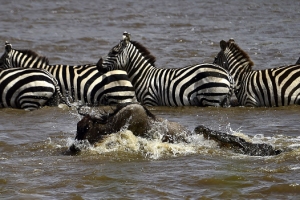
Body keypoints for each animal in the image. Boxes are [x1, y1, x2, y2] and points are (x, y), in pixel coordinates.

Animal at [97, 31, 233, 106]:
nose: (98, 65)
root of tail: (227, 73)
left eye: (114, 52)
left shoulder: (150, 100)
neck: (143, 76)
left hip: (211, 98)